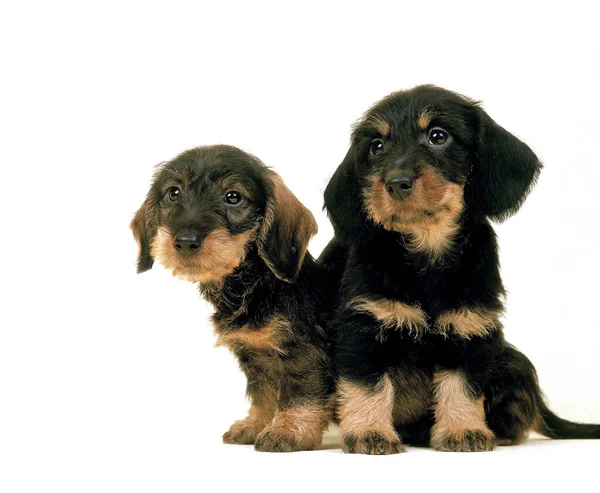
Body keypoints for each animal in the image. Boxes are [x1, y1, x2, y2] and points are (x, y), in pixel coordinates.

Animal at [132, 144, 338, 452]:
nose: (185, 242)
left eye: (233, 197)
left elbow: (299, 394)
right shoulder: (255, 358)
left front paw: (288, 430)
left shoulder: (302, 352)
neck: (254, 286)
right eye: (173, 192)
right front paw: (256, 425)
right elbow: (264, 395)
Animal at [324, 83, 600, 454]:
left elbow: (462, 386)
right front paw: (370, 431)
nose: (396, 182)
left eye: (438, 136)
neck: (426, 248)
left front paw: (462, 430)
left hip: (509, 361)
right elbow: (369, 386)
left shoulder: (471, 329)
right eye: (376, 146)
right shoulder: (364, 327)